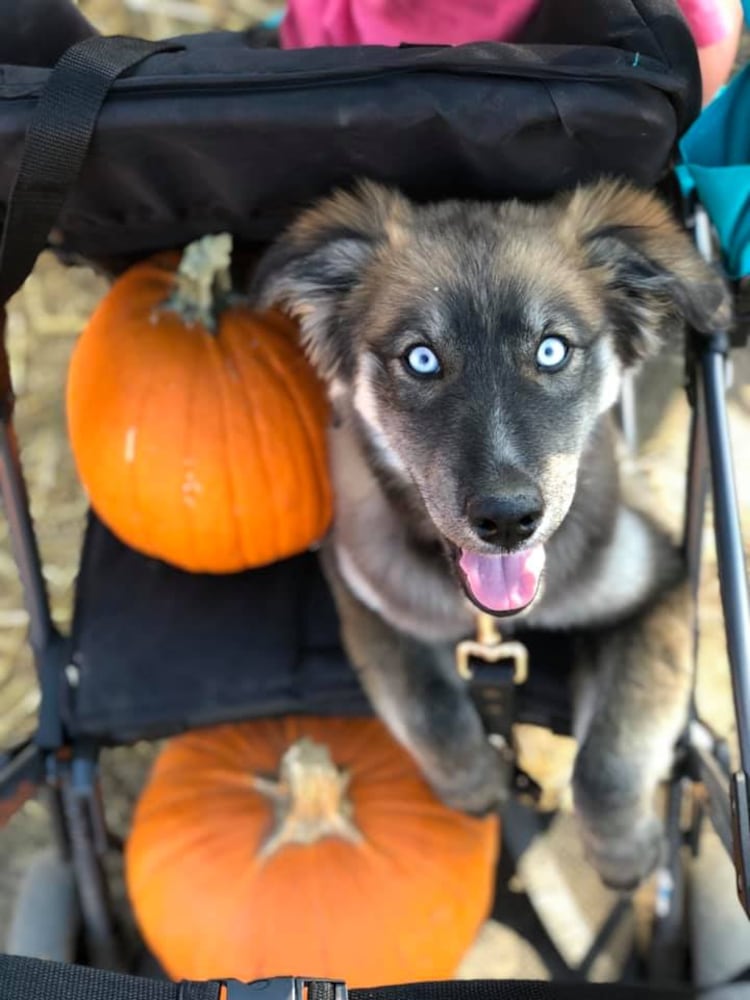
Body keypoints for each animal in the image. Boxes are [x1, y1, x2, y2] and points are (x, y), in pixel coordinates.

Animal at [251, 182, 728, 892]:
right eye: (421, 359)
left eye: (552, 349)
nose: (507, 519)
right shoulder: (363, 591)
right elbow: (426, 704)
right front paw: (472, 780)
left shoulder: (660, 585)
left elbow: (611, 754)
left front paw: (623, 849)